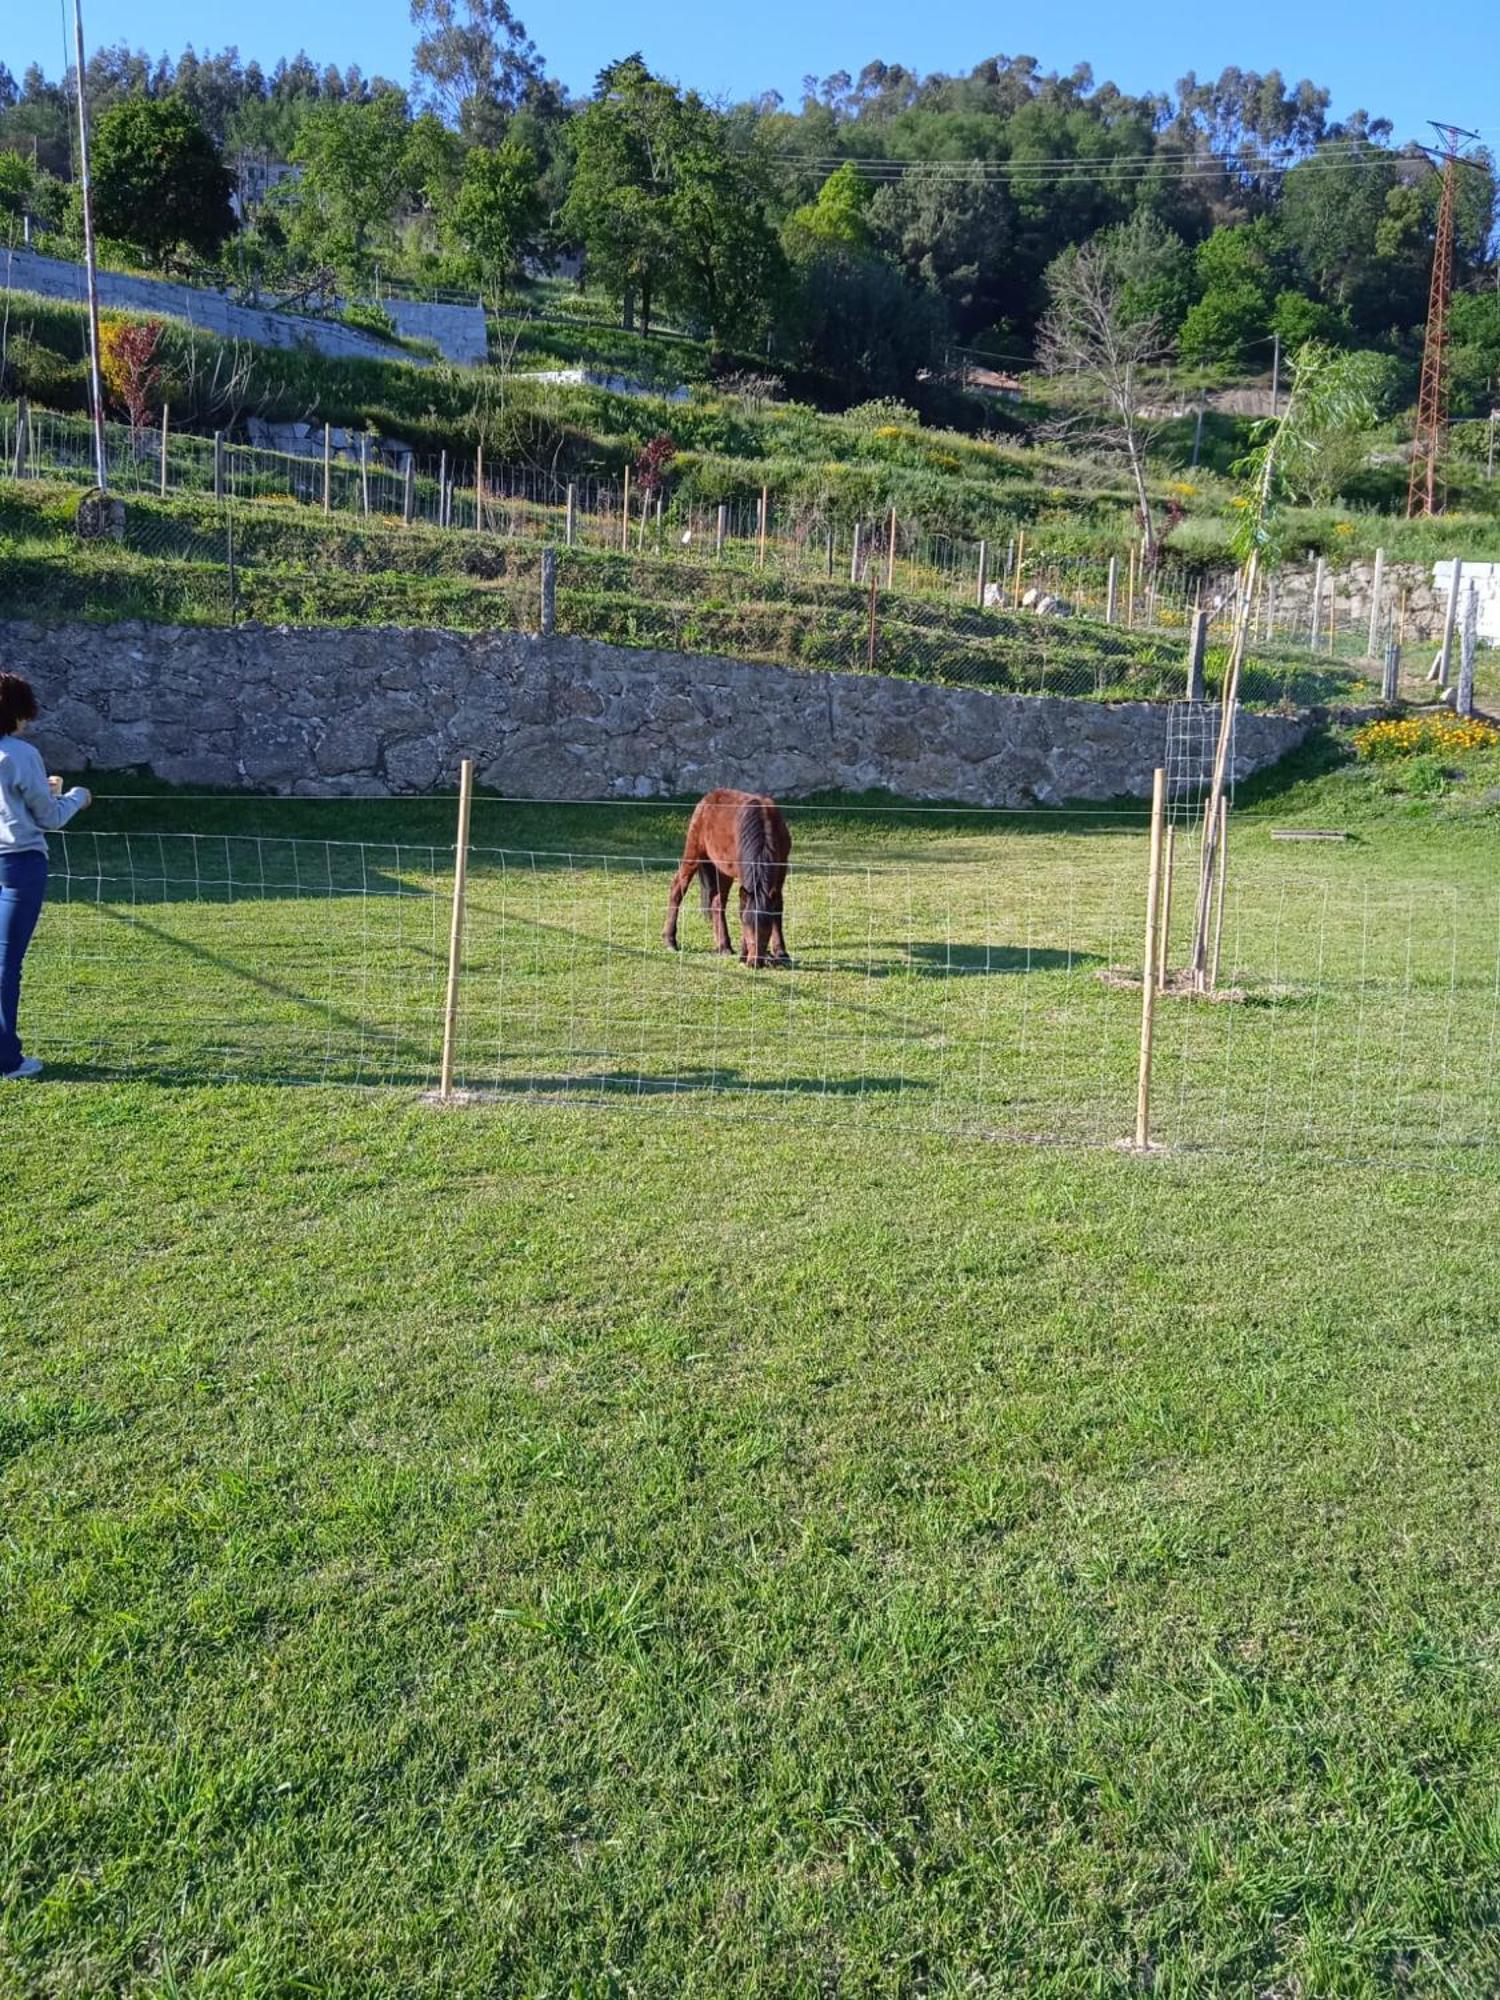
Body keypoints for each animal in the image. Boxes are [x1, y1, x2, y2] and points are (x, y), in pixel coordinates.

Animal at [664, 788, 792, 968]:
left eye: (766, 928)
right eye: (746, 925)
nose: (754, 962)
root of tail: (709, 797)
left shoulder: (780, 871)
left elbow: (777, 908)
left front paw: (781, 952)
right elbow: (743, 908)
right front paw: (746, 954)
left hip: (722, 870)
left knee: (718, 902)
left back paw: (723, 945)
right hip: (694, 853)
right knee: (678, 888)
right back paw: (670, 940)